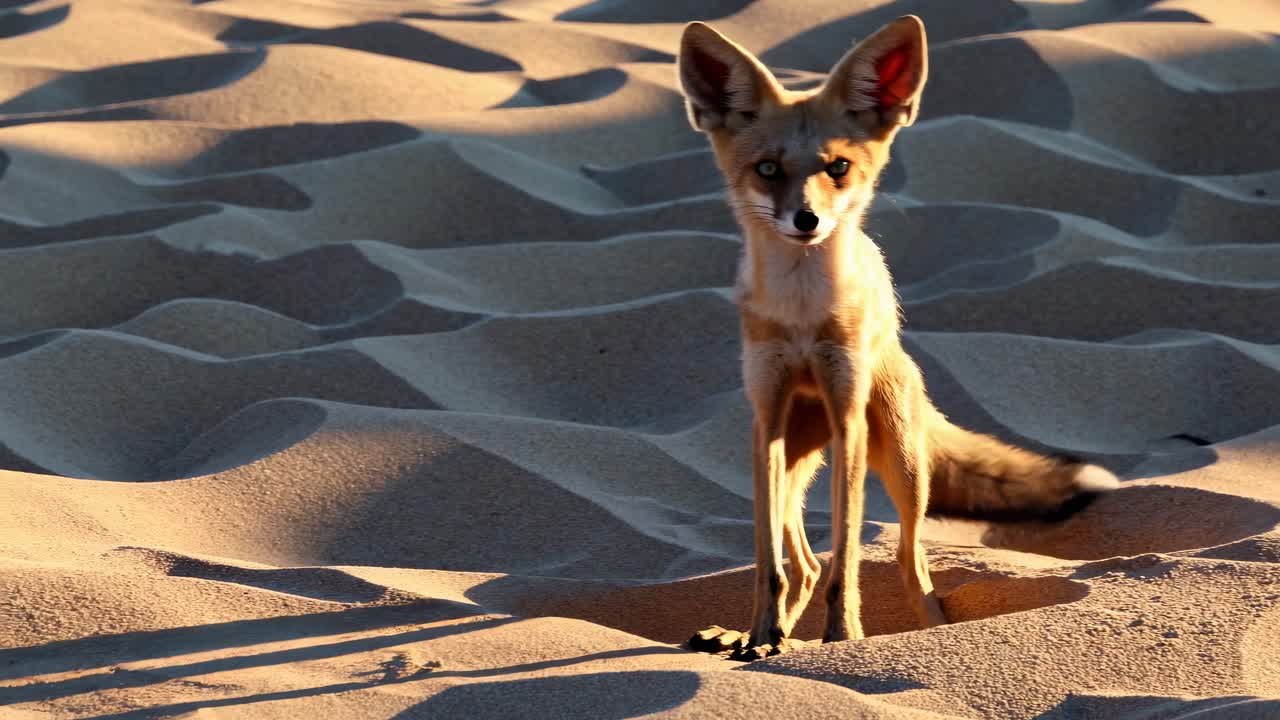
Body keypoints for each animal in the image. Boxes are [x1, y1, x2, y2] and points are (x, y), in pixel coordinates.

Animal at [676, 15, 1119, 660]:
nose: (806, 220)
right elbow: (768, 565)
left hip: (903, 468)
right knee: (803, 564)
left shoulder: (848, 417)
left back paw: (922, 638)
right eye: (767, 169)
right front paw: (760, 636)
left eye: (837, 168)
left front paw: (843, 640)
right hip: (790, 466)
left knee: (913, 570)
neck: (803, 316)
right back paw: (754, 636)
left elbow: (847, 566)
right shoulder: (767, 418)